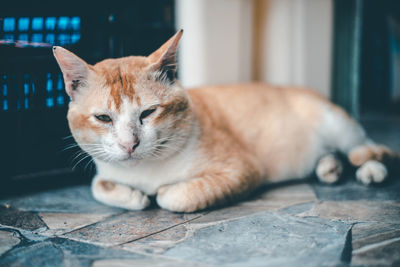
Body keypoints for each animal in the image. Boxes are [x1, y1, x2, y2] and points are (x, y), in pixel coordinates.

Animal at [52, 29, 396, 214]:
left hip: (337, 124)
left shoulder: (242, 169)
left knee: (365, 149)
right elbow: (98, 186)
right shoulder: (104, 168)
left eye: (148, 113)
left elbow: (174, 195)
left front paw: (158, 193)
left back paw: (371, 169)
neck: (144, 170)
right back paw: (329, 167)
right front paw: (133, 196)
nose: (129, 144)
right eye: (103, 118)